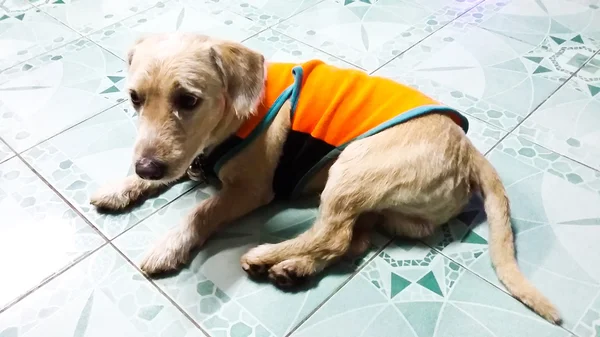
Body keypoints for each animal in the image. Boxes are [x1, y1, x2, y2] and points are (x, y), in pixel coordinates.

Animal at [91, 32, 560, 322]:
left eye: (188, 100)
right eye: (134, 98)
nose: (147, 166)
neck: (232, 119)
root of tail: (468, 149)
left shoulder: (249, 190)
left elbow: (201, 212)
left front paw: (169, 245)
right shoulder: (184, 158)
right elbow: (162, 173)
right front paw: (122, 187)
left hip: (352, 166)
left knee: (331, 233)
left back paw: (267, 255)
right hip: (382, 207)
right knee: (352, 239)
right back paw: (294, 267)